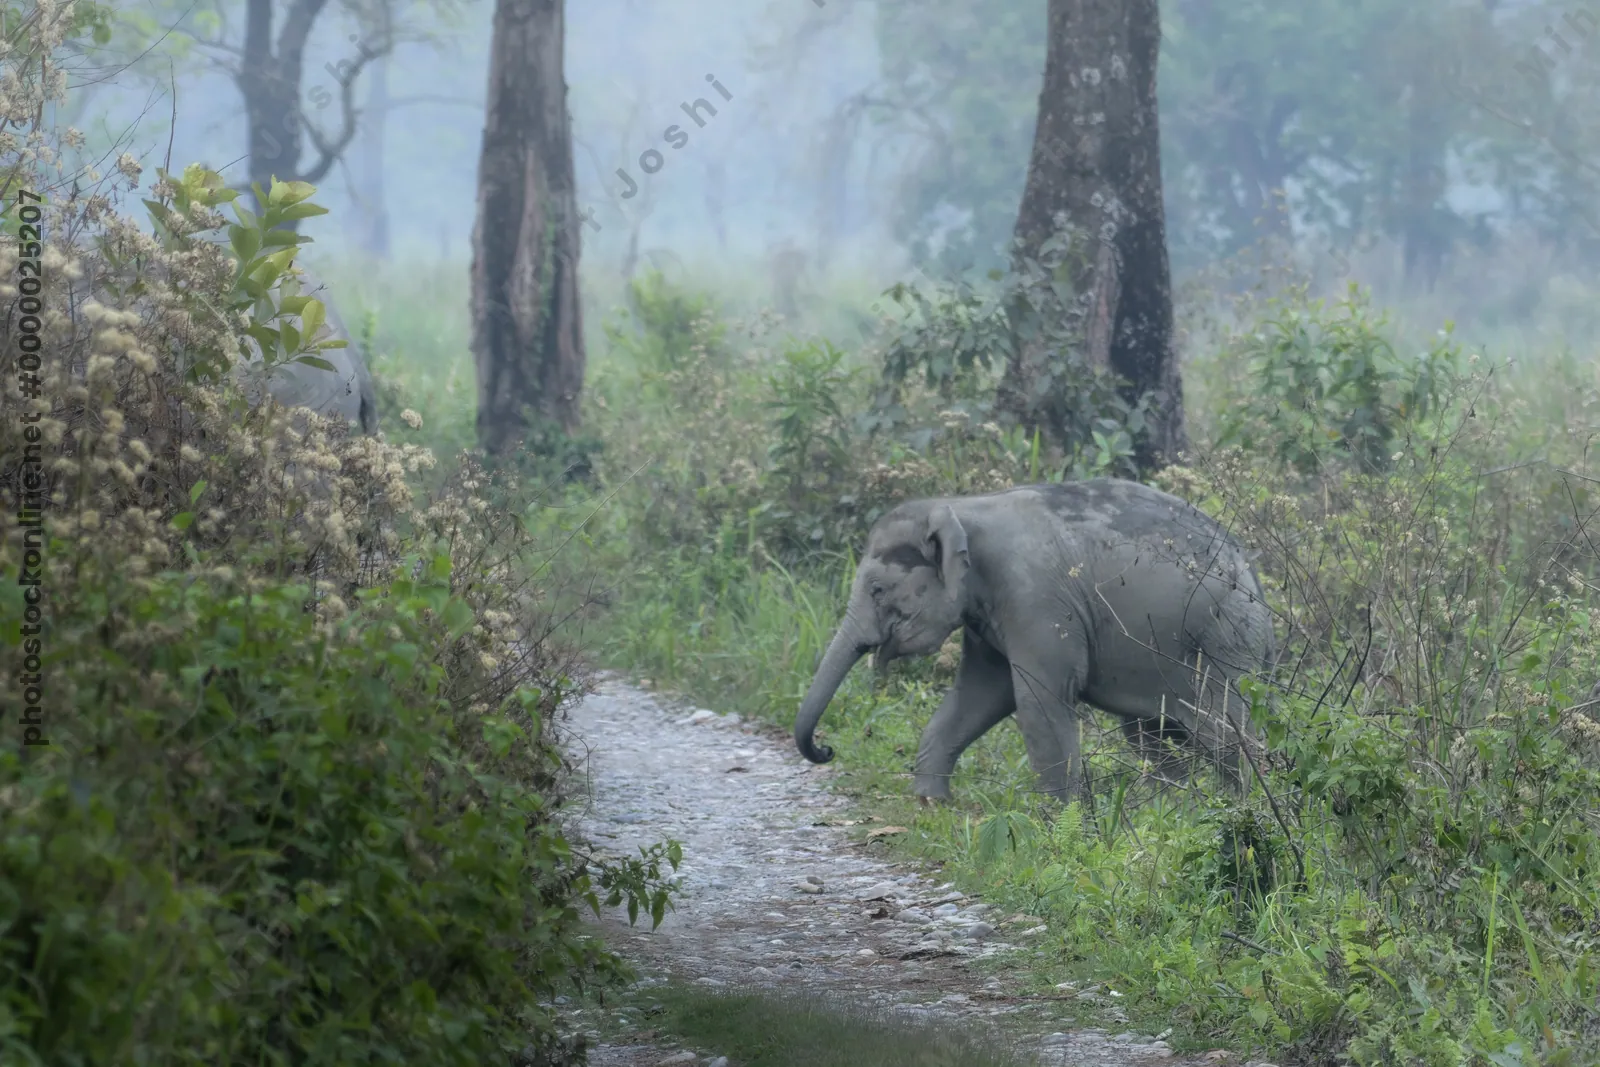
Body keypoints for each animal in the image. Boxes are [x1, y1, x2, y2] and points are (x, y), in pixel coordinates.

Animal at [793, 478, 1276, 802]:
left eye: (876, 590)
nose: (826, 748)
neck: (960, 508)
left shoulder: (1035, 598)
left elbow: (1038, 700)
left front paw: (1062, 826)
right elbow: (980, 695)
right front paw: (933, 803)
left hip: (1225, 640)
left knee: (1223, 732)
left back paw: (1241, 807)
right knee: (1148, 736)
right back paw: (1172, 809)